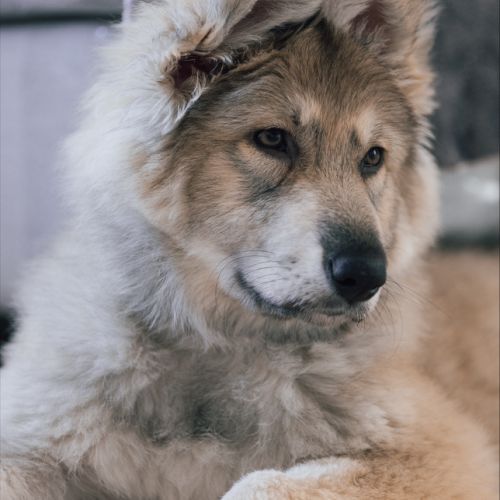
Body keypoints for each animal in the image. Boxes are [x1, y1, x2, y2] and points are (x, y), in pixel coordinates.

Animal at [0, 0, 498, 498]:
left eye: (373, 158)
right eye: (272, 139)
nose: (367, 275)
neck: (215, 344)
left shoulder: (447, 451)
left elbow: (259, 483)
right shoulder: (33, 433)